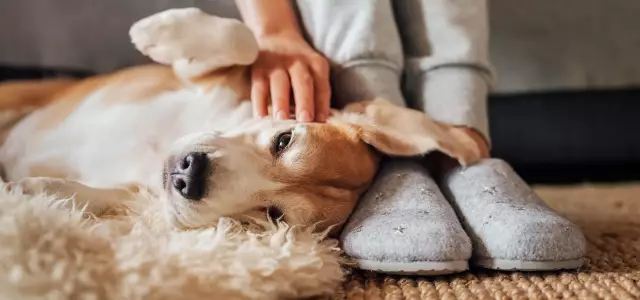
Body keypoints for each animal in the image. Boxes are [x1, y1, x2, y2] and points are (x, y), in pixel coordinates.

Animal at [0, 7, 480, 232]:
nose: (189, 176)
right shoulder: (206, 77)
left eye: (274, 215)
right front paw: (161, 32)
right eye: (284, 139)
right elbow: (244, 40)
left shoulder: (139, 191)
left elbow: (104, 195)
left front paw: (36, 191)